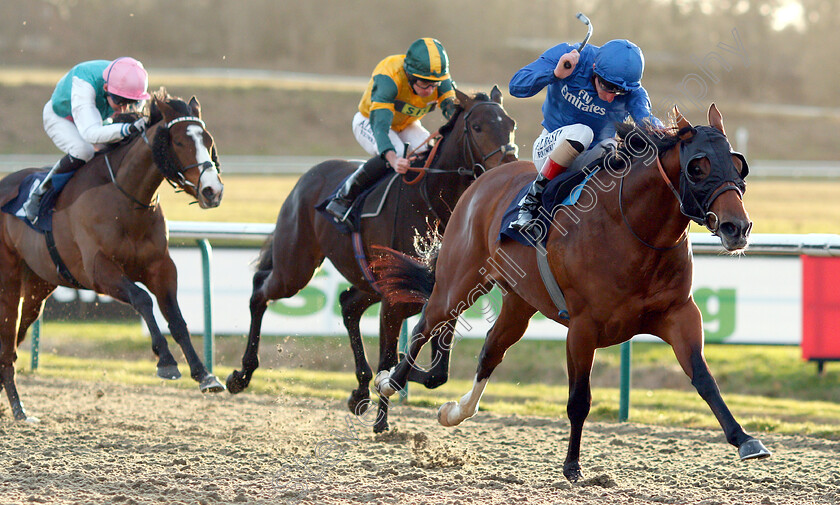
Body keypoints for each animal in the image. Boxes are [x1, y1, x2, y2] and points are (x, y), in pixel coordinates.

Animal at [0, 89, 226, 422]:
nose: (213, 191)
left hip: (38, 285)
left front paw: (204, 374)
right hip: (9, 280)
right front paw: (166, 362)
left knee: (16, 338)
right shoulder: (99, 271)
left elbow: (176, 317)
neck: (126, 203)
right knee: (7, 342)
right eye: (179, 142)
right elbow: (142, 299)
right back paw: (19, 410)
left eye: (209, 141)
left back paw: (18, 408)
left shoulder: (161, 267)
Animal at [226, 85, 520, 430]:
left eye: (510, 124)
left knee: (348, 305)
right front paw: (382, 417)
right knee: (260, 289)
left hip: (365, 280)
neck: (433, 201)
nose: (509, 163)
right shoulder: (395, 301)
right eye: (477, 127)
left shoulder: (444, 294)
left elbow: (436, 373)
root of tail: (308, 176)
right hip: (295, 267)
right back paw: (241, 374)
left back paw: (359, 391)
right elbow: (393, 359)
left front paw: (382, 391)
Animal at [370, 104, 772, 478]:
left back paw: (454, 411)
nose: (737, 227)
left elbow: (704, 379)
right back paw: (388, 383)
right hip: (461, 281)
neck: (632, 228)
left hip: (519, 303)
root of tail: (483, 180)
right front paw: (572, 465)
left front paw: (745, 439)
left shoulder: (679, 313)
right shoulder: (583, 327)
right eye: (697, 168)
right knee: (425, 325)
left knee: (490, 351)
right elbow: (579, 398)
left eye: (737, 165)